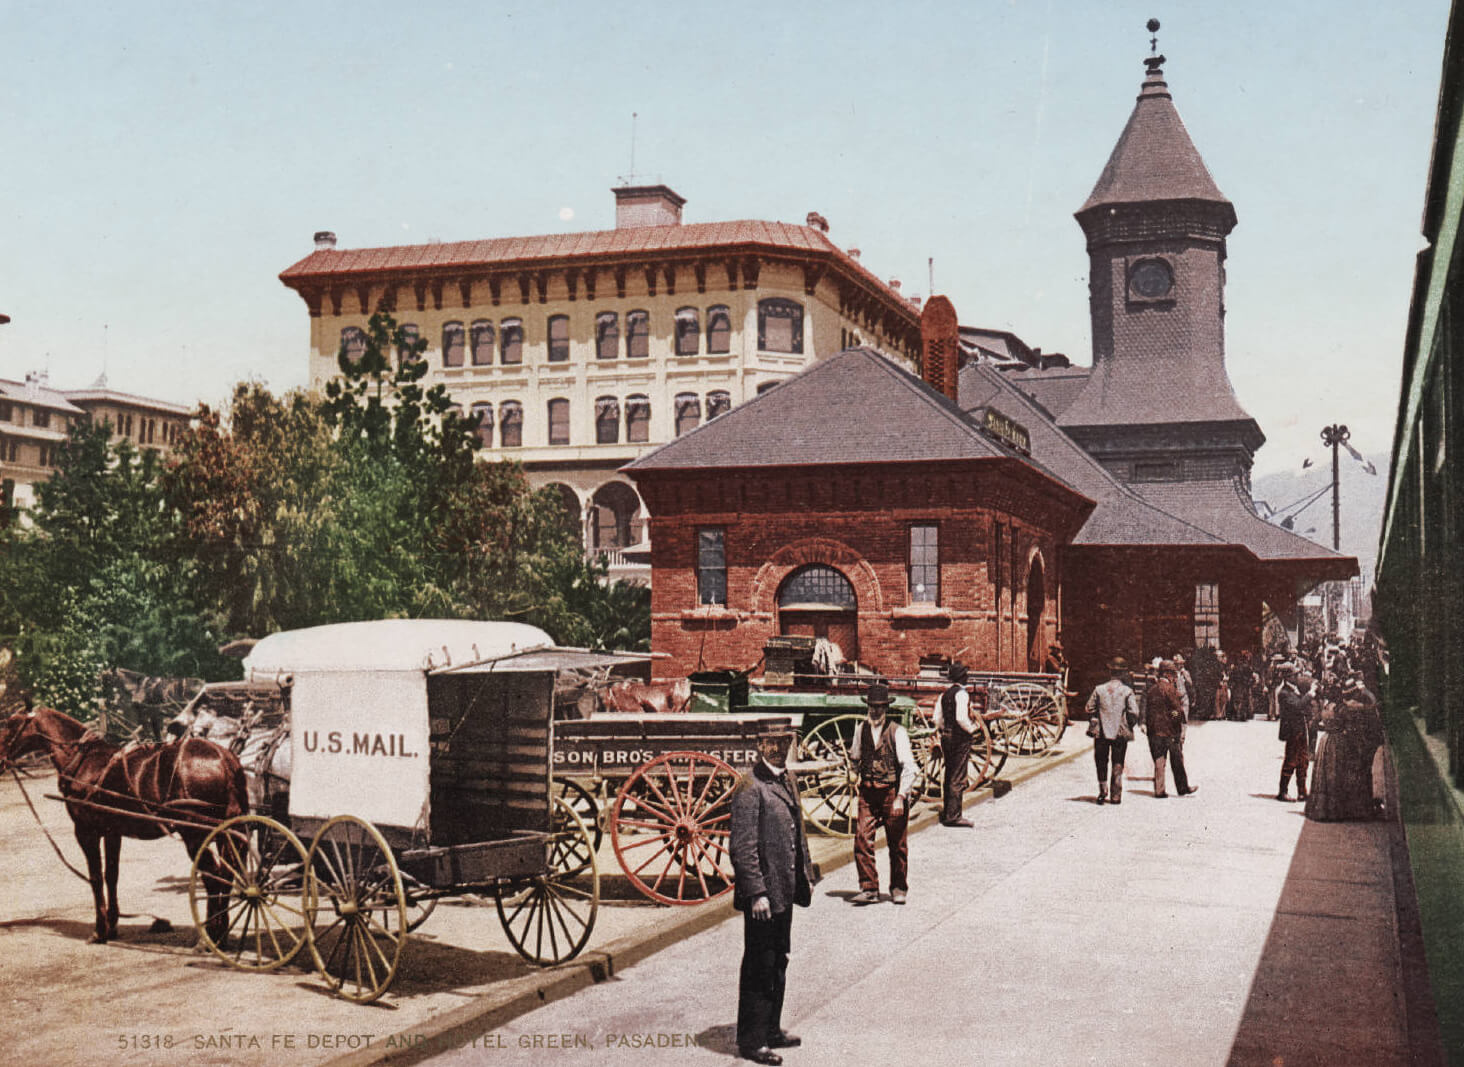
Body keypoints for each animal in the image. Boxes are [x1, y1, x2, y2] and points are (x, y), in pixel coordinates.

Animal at [0, 708, 247, 942]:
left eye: (10, 725)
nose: (1, 760)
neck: (83, 761)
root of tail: (224, 758)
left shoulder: (85, 831)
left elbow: (96, 877)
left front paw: (100, 931)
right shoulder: (112, 832)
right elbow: (111, 875)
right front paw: (112, 925)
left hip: (195, 834)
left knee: (213, 876)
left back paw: (212, 936)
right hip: (226, 832)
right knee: (227, 874)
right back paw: (221, 932)